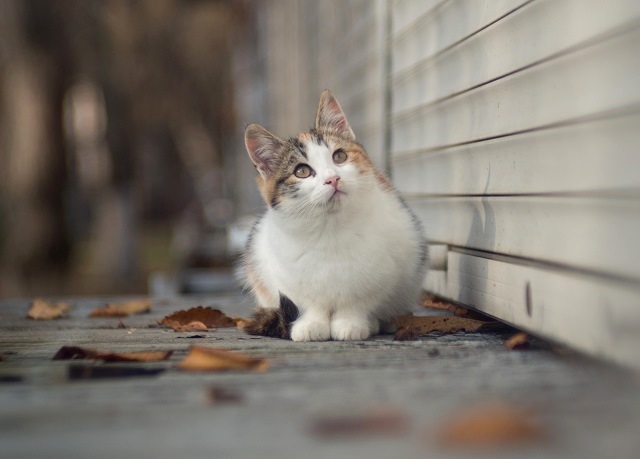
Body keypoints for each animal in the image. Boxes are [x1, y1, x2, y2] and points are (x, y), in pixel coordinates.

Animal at [238, 90, 428, 342]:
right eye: (302, 171)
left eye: (339, 156)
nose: (333, 179)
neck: (330, 228)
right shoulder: (280, 271)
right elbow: (307, 301)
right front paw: (310, 323)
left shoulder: (388, 267)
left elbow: (360, 297)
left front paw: (350, 322)